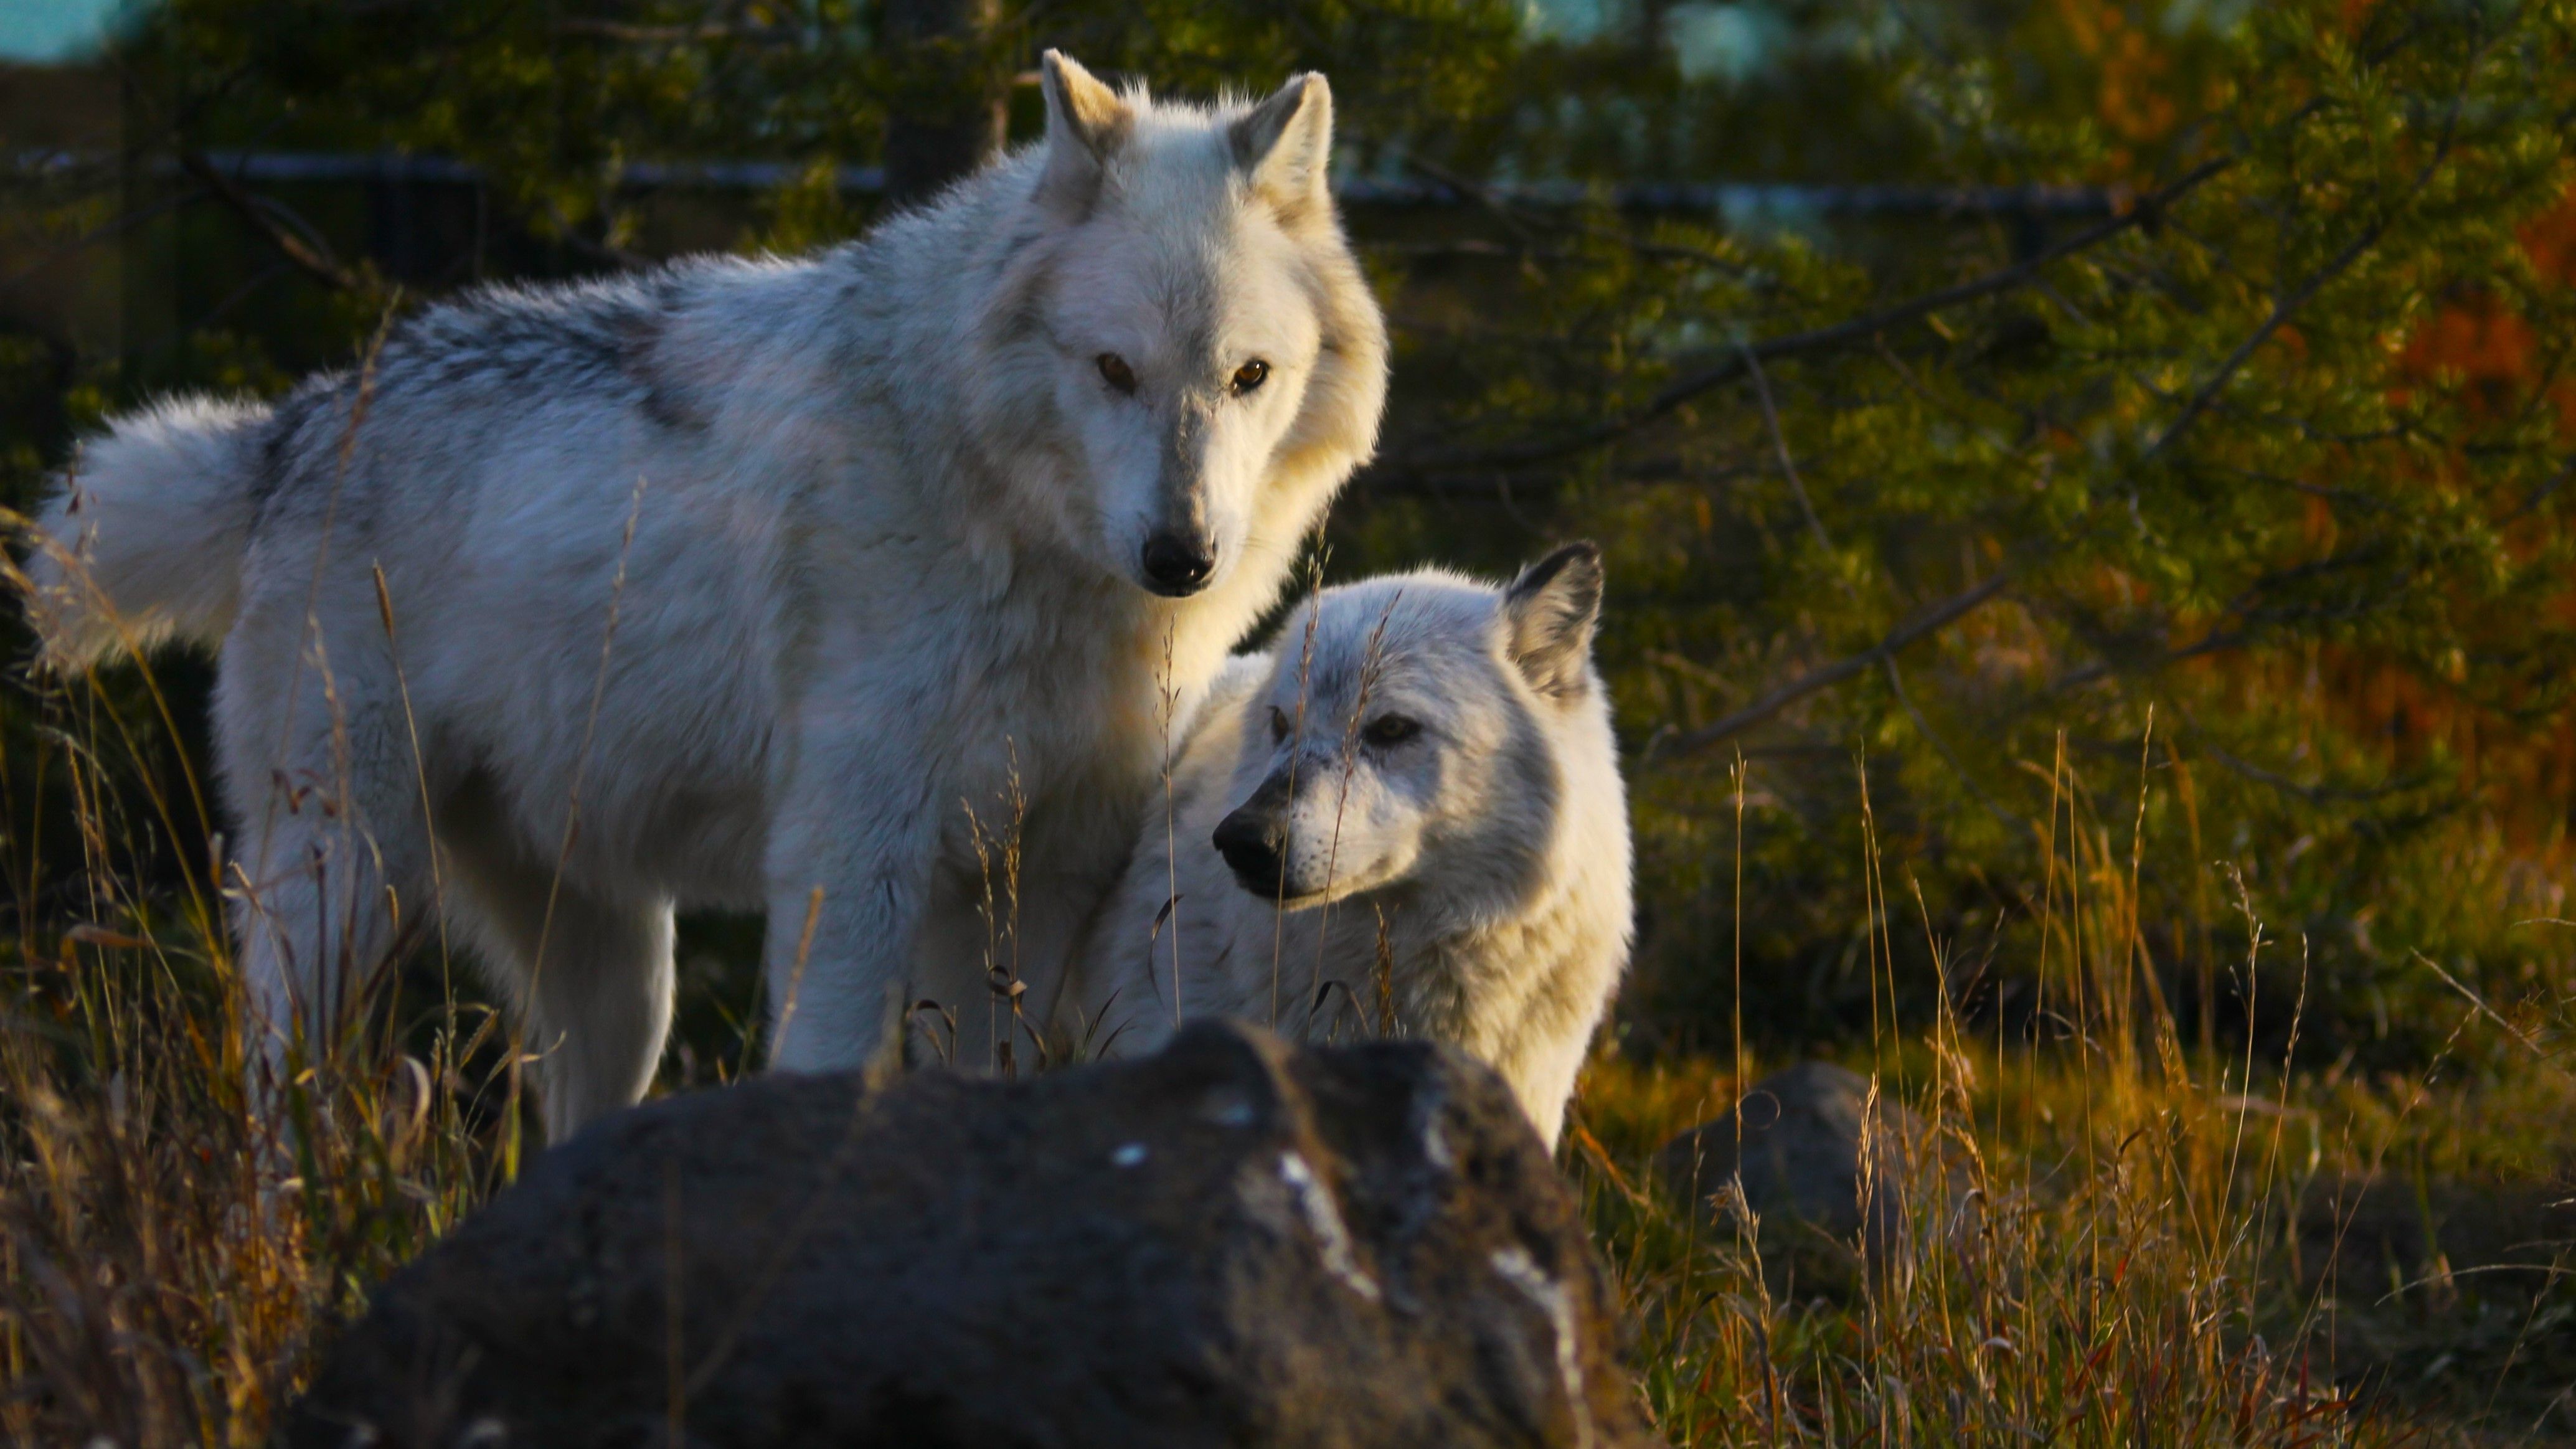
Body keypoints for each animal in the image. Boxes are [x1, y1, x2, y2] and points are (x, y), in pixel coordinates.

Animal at [20, 56, 1390, 1134]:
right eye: (1112, 369)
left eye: (1248, 375)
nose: (1181, 555)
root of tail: (289, 429)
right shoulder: (850, 860)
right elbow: (829, 1063)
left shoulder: (1038, 874)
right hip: (346, 886)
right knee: (271, 1098)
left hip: (617, 974)